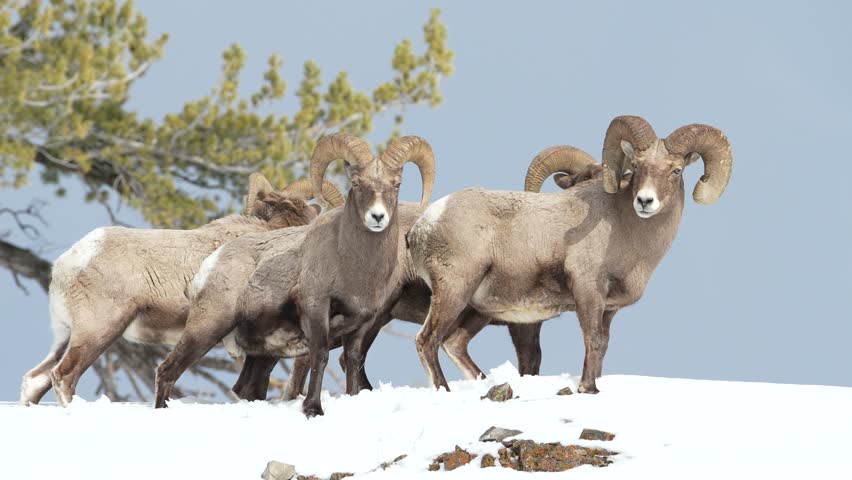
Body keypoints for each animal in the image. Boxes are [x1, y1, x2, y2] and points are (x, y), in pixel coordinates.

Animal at [153, 132, 435, 416]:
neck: (356, 269)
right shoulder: (316, 311)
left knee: (246, 388)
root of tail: (210, 264)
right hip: (207, 328)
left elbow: (354, 360)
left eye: (396, 185)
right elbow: (320, 357)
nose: (377, 217)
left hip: (261, 353)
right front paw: (313, 409)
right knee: (167, 371)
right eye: (356, 183)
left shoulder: (363, 323)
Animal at [406, 116, 733, 394]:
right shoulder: (587, 292)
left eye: (676, 170)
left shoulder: (608, 308)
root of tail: (424, 224)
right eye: (637, 166)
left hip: (477, 307)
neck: (623, 227)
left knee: (453, 343)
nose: (645, 201)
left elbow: (603, 345)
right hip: (454, 291)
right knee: (427, 341)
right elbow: (592, 340)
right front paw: (587, 389)